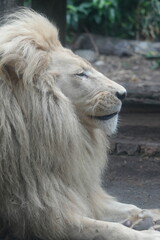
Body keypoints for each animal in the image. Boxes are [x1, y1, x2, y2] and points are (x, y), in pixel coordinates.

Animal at [0, 7, 160, 240]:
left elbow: (130, 207)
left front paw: (143, 219)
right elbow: (109, 229)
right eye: (81, 74)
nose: (123, 93)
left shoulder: (79, 191)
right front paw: (146, 232)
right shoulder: (43, 216)